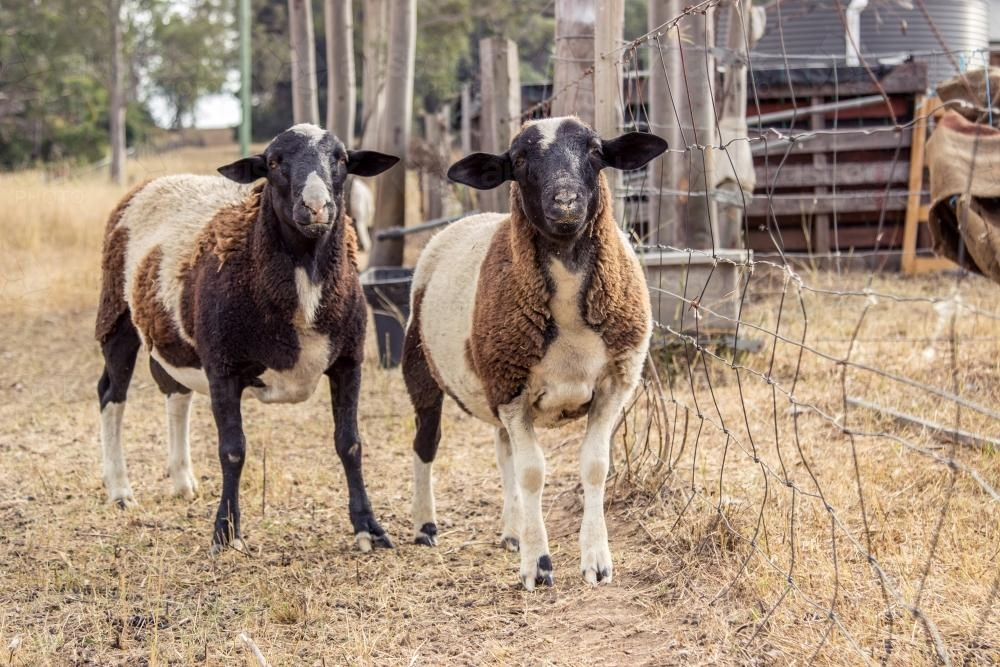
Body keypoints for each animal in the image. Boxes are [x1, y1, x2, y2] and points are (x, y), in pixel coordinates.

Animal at [95, 123, 399, 554]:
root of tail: (152, 181)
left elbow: (350, 444)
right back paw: (120, 490)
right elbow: (233, 450)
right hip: (116, 314)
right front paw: (225, 532)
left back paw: (182, 481)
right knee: (111, 395)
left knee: (174, 392)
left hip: (171, 334)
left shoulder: (348, 362)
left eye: (341, 158)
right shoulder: (224, 368)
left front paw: (368, 528)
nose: (316, 207)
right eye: (272, 162)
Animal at [402, 116, 668, 589]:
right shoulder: (512, 389)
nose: (565, 203)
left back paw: (512, 531)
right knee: (425, 445)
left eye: (595, 150)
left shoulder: (613, 385)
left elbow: (594, 466)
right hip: (423, 371)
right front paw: (538, 565)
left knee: (502, 449)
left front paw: (597, 562)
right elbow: (532, 473)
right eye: (520, 159)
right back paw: (425, 526)